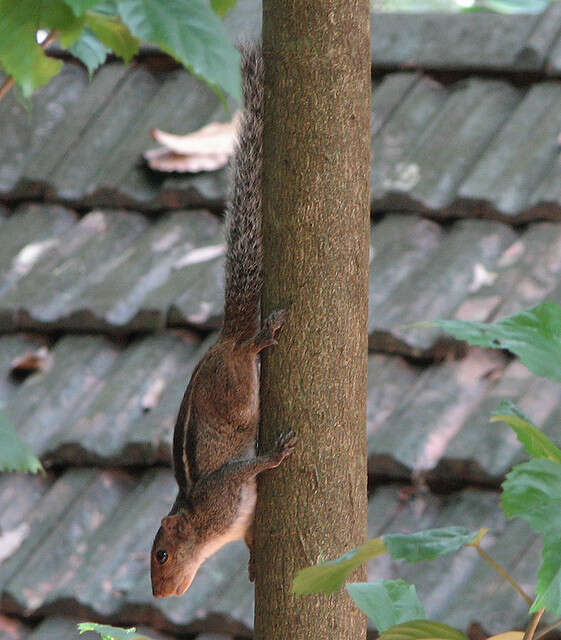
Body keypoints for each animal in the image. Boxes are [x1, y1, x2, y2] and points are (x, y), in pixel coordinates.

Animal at [149, 46, 298, 600]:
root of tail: (221, 340)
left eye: (162, 555)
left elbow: (249, 467)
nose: (159, 594)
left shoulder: (227, 488)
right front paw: (254, 567)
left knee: (245, 355)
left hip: (234, 391)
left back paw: (259, 338)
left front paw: (275, 455)